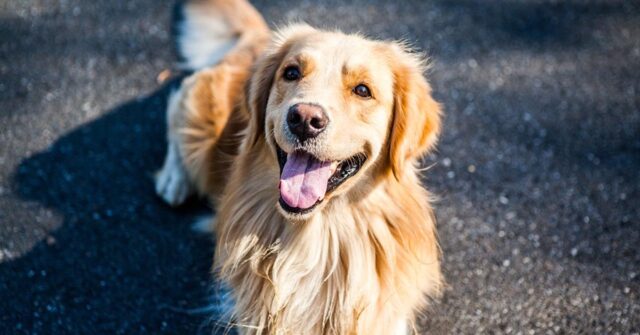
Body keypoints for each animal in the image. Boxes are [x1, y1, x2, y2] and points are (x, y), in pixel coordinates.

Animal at [156, 0, 444, 334]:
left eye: (362, 90)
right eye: (291, 72)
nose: (305, 119)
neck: (318, 236)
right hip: (199, 122)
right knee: (175, 105)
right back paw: (173, 178)